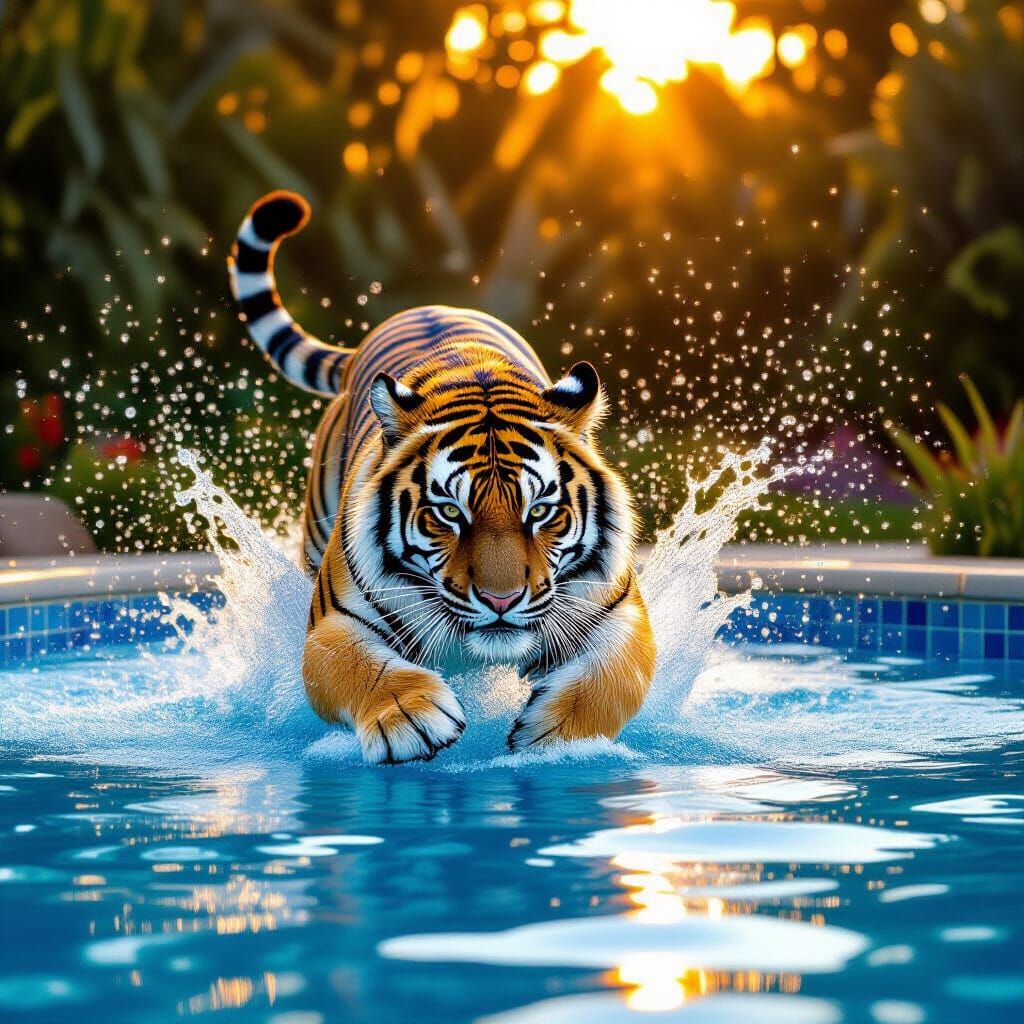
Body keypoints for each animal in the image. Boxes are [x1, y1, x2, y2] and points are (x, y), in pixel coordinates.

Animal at [228, 190, 655, 764]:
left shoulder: (617, 610)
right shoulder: (332, 623)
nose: (501, 602)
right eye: (449, 513)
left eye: (541, 511)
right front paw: (409, 718)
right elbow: (359, 667)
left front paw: (560, 737)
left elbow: (616, 676)